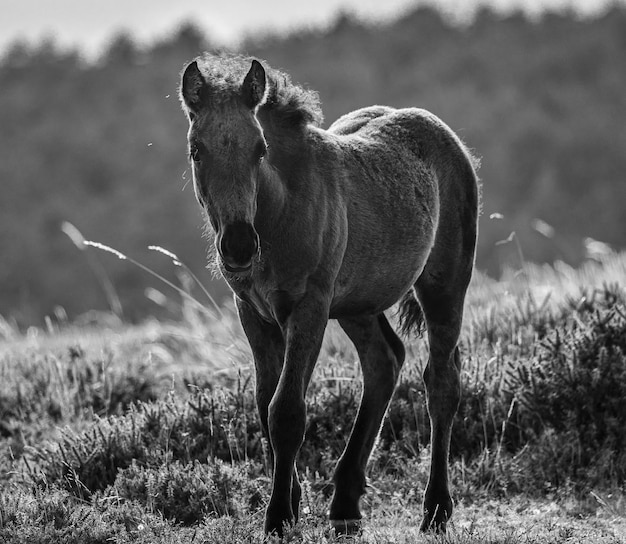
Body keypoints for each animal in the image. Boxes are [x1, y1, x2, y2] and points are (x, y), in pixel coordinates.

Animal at [180, 53, 478, 536]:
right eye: (197, 151)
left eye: (259, 149)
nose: (239, 246)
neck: (281, 211)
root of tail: (449, 140)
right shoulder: (255, 314)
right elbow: (265, 406)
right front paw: (292, 501)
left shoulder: (309, 309)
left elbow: (286, 412)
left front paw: (279, 517)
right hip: (358, 304)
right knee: (384, 362)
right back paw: (346, 500)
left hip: (444, 285)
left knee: (442, 383)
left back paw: (435, 509)